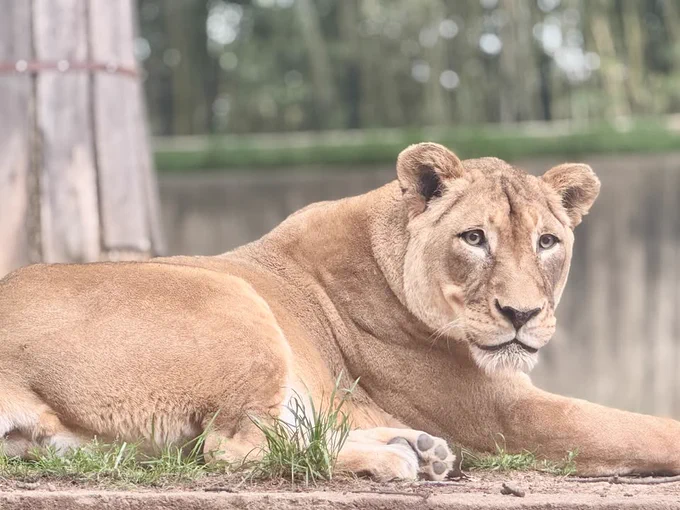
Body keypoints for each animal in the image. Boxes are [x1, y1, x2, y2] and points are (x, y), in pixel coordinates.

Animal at [1, 142, 679, 481]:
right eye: (474, 238)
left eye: (547, 241)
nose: (521, 314)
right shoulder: (502, 414)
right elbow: (645, 429)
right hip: (233, 299)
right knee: (233, 450)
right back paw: (399, 459)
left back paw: (419, 450)